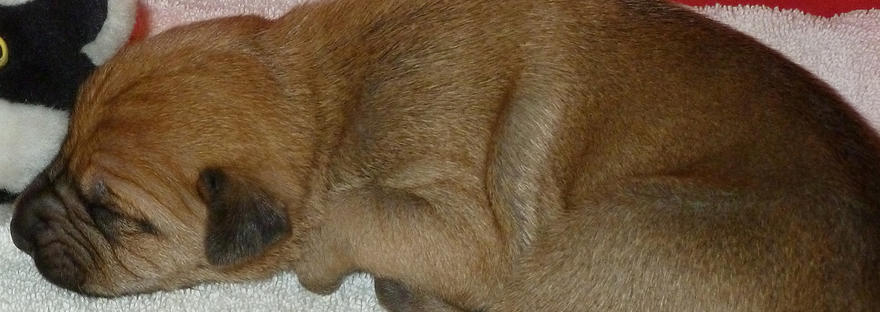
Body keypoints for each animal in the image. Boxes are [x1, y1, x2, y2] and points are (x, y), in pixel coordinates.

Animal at [6, 0, 880, 310]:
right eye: (63, 145)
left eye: (112, 213)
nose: (16, 227)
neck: (327, 103)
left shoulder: (468, 233)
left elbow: (344, 213)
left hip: (610, 232)